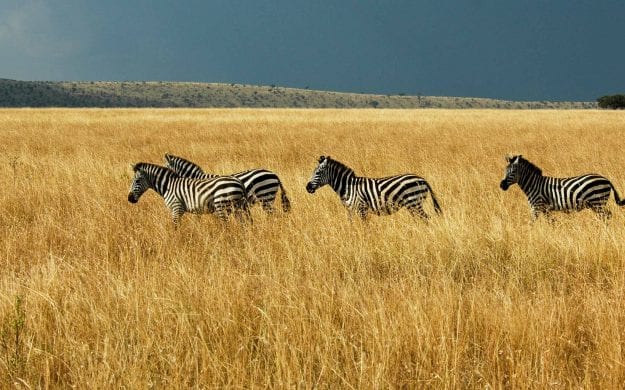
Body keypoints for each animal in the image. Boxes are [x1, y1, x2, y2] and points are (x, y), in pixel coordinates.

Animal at [304, 157, 442, 221]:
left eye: (317, 173)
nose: (307, 187)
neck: (348, 187)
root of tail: (422, 179)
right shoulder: (350, 211)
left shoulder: (362, 208)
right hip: (412, 205)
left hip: (414, 202)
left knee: (426, 218)